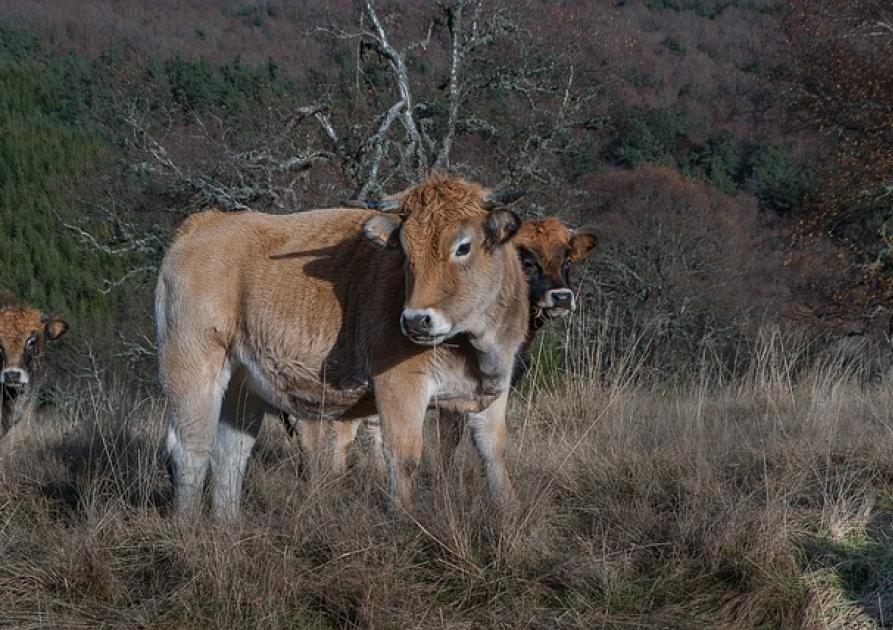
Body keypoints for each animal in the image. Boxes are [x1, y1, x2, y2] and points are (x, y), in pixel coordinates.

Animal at [154, 173, 528, 524]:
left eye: (463, 246)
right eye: (406, 251)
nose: (415, 320)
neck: (474, 347)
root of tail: (208, 222)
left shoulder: (492, 389)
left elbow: (494, 454)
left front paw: (507, 512)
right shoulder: (399, 386)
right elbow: (404, 457)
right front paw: (403, 521)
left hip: (243, 386)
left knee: (231, 454)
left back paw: (228, 528)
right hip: (192, 366)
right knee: (191, 449)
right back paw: (189, 528)